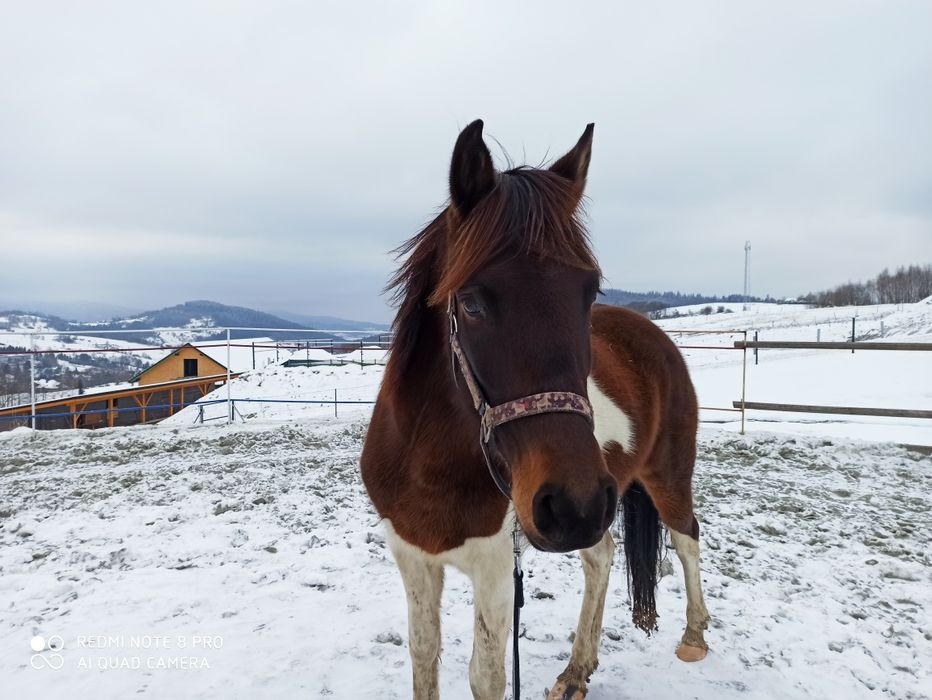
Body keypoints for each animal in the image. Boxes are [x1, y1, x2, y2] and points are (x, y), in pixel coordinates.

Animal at [360, 121, 708, 700]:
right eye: (471, 302)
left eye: (589, 292)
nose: (574, 503)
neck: (428, 463)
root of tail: (654, 336)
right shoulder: (413, 557)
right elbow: (424, 653)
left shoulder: (497, 566)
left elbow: (486, 676)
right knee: (602, 556)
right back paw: (576, 671)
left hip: (663, 476)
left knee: (686, 538)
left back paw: (695, 636)